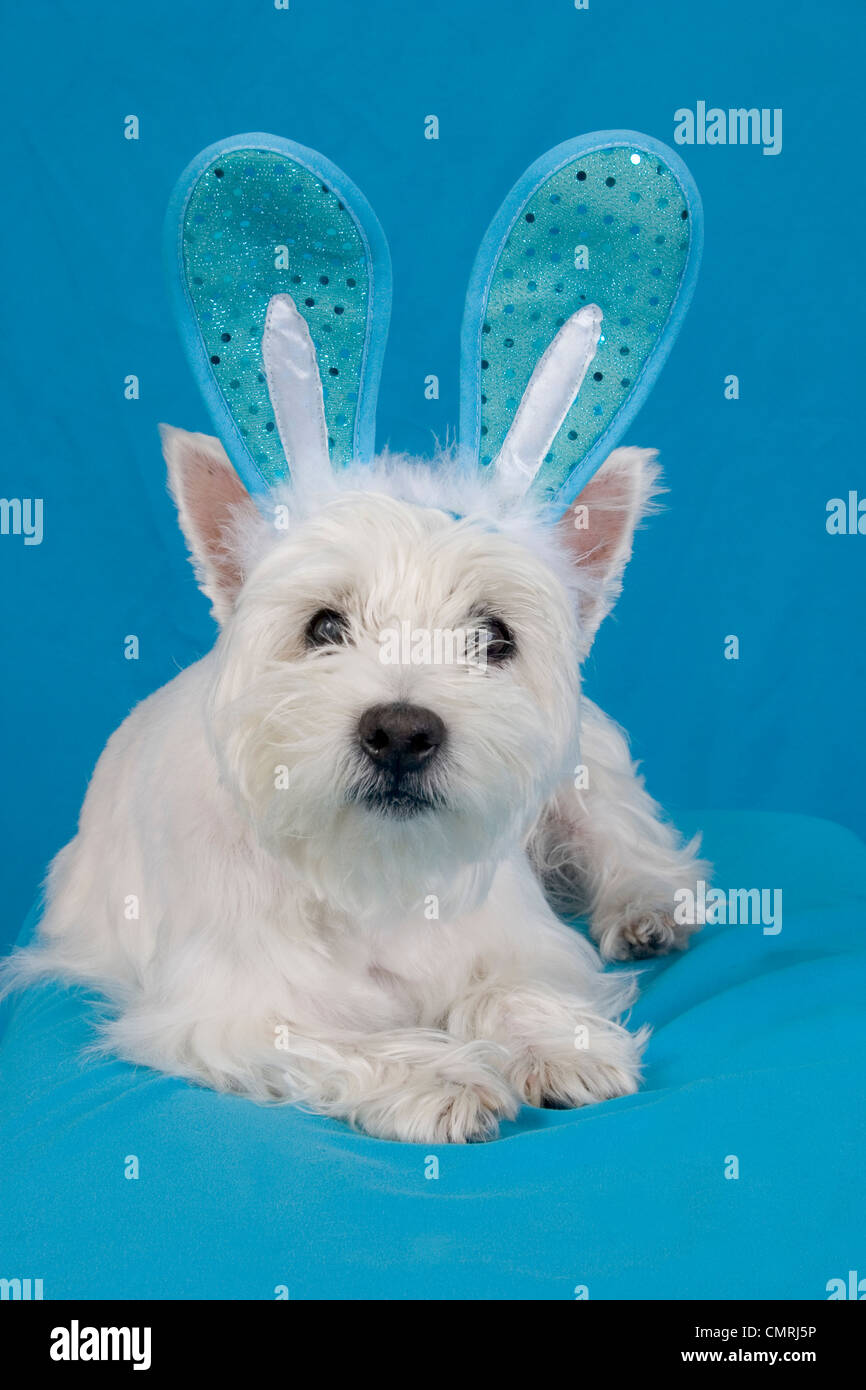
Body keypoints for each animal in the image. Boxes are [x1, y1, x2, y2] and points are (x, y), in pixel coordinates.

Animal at [3, 417, 708, 1145]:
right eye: (324, 626)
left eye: (493, 636)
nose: (400, 734)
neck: (372, 871)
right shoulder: (228, 1009)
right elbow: (339, 1038)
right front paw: (442, 1078)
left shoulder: (522, 942)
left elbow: (513, 986)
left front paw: (562, 1047)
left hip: (584, 777)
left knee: (633, 843)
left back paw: (646, 912)